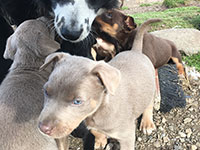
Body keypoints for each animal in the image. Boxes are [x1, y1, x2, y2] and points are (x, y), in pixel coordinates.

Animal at [37, 18, 159, 150]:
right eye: (46, 92)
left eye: (77, 101)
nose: (43, 128)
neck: (100, 109)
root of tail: (135, 51)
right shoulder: (90, 122)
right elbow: (95, 131)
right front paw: (100, 140)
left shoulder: (126, 135)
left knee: (149, 104)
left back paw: (147, 123)